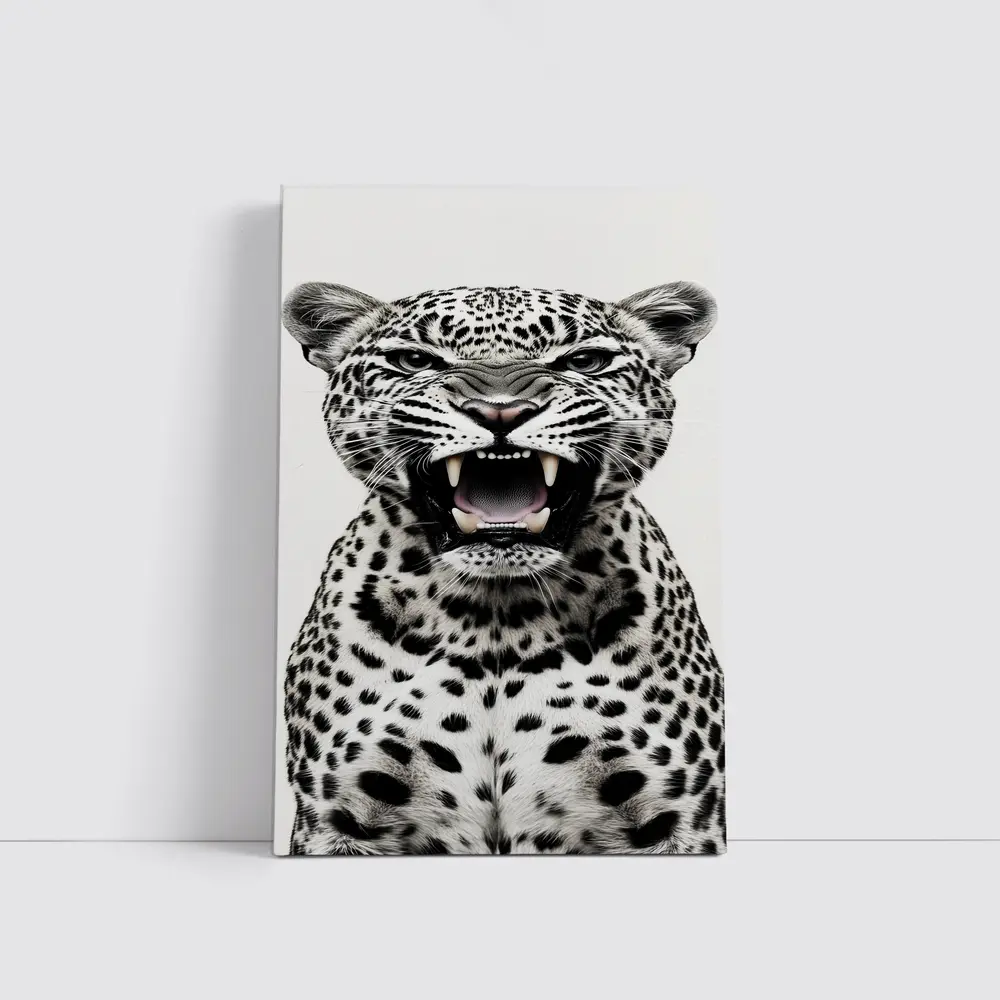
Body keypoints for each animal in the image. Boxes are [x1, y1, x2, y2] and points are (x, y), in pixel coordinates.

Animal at [280, 280, 725, 855]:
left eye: (584, 360)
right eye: (414, 360)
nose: (500, 412)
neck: (497, 617)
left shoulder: (678, 816)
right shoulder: (339, 817)